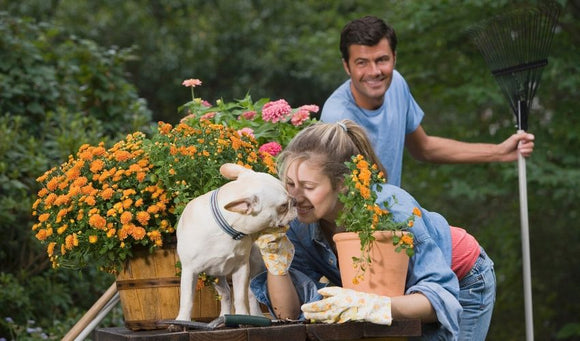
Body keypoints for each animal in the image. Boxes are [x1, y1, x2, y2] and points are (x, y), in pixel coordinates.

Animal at [176, 162, 294, 318]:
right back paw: (223, 316)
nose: (296, 201)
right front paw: (183, 319)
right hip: (215, 274)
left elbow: (240, 297)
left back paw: (256, 315)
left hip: (255, 264)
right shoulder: (190, 270)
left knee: (250, 294)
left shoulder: (241, 268)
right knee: (226, 293)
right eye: (283, 206)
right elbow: (187, 300)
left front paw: (242, 316)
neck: (226, 229)